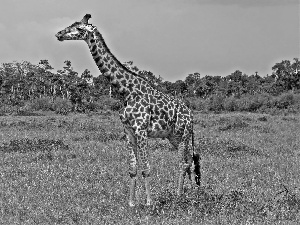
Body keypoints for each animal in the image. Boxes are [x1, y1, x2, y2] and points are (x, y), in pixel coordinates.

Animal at [56, 14, 202, 207]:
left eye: (79, 28)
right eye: (72, 24)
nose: (58, 34)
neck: (125, 91)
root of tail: (190, 114)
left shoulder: (141, 129)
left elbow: (146, 168)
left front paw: (149, 202)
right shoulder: (128, 131)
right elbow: (132, 169)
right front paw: (131, 203)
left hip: (184, 133)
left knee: (183, 163)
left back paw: (179, 196)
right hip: (173, 136)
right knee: (189, 160)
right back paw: (190, 192)